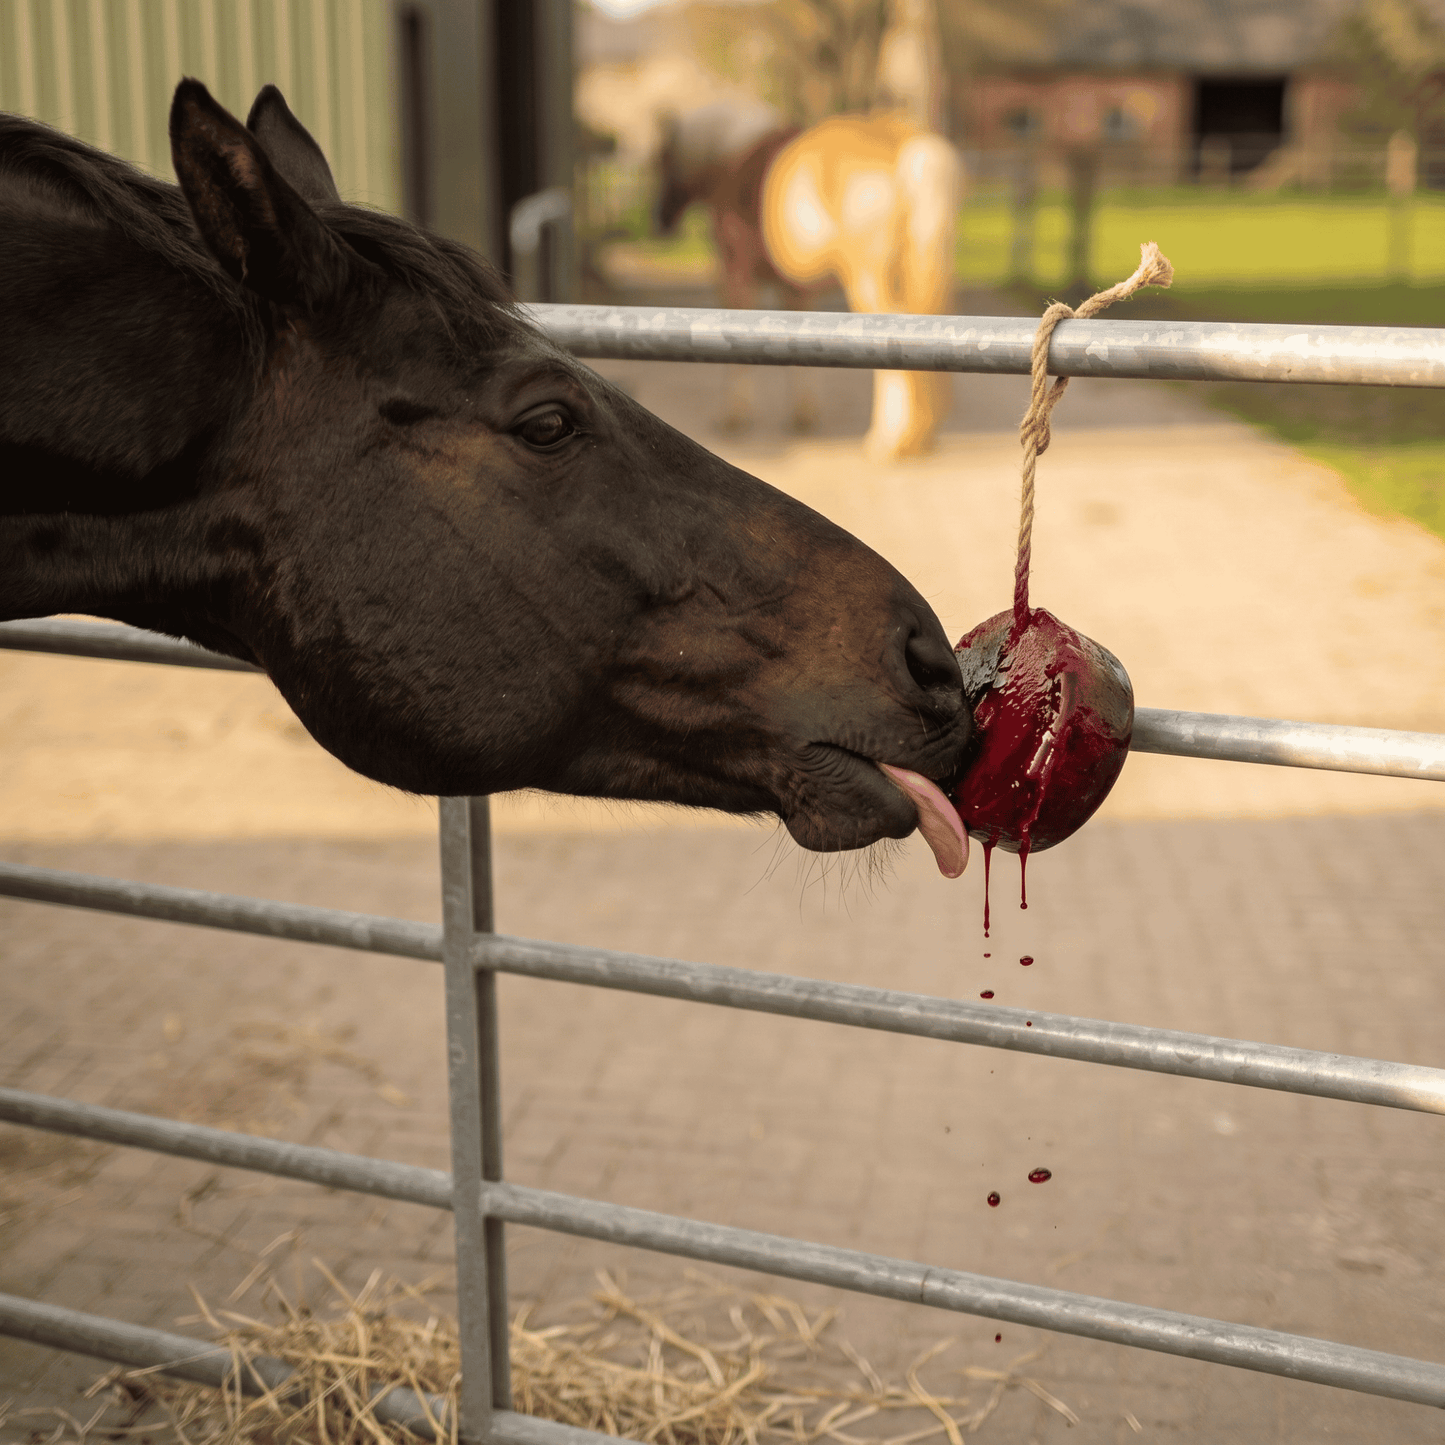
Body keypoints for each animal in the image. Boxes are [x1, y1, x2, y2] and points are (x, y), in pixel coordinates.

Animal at [656, 107, 959, 459]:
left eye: (661, 157)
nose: (660, 221)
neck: (732, 156)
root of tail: (905, 142)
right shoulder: (794, 290)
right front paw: (803, 415)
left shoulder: (735, 276)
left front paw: (734, 416)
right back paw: (919, 435)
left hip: (869, 281)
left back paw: (887, 441)